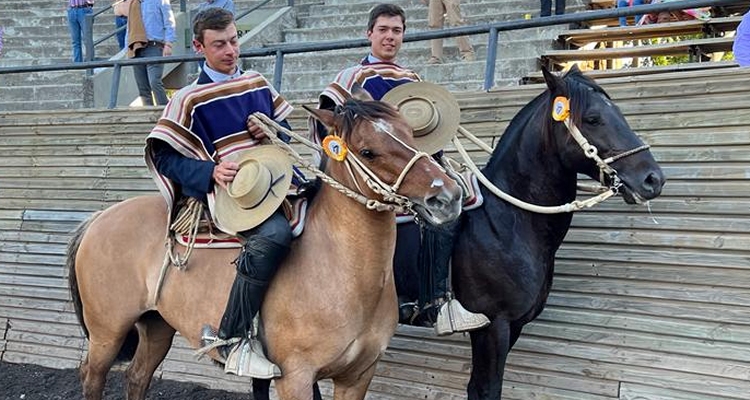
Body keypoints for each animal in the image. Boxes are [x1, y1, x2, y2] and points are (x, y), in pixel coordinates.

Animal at [66, 99, 464, 400]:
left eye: (410, 134)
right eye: (367, 151)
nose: (446, 196)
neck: (340, 269)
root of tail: (98, 219)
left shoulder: (358, 375)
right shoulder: (296, 378)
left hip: (156, 326)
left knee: (137, 377)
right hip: (107, 332)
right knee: (92, 376)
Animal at [396, 66, 668, 400]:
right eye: (592, 118)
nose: (652, 179)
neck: (507, 222)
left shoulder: (515, 325)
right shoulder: (493, 325)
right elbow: (487, 389)